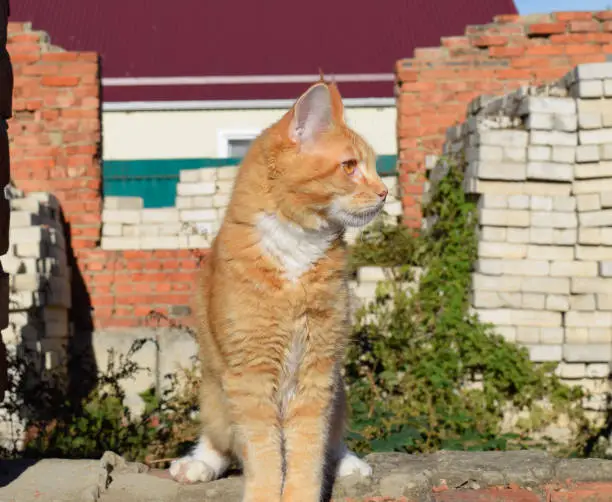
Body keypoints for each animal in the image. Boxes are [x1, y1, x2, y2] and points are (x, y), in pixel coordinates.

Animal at [169, 79, 388, 502]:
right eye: (350, 167)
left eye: (373, 167)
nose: (385, 192)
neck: (296, 250)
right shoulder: (249, 377)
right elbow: (264, 452)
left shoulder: (318, 372)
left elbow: (307, 450)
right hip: (214, 391)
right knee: (220, 441)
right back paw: (198, 463)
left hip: (339, 390)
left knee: (333, 441)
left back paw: (349, 463)